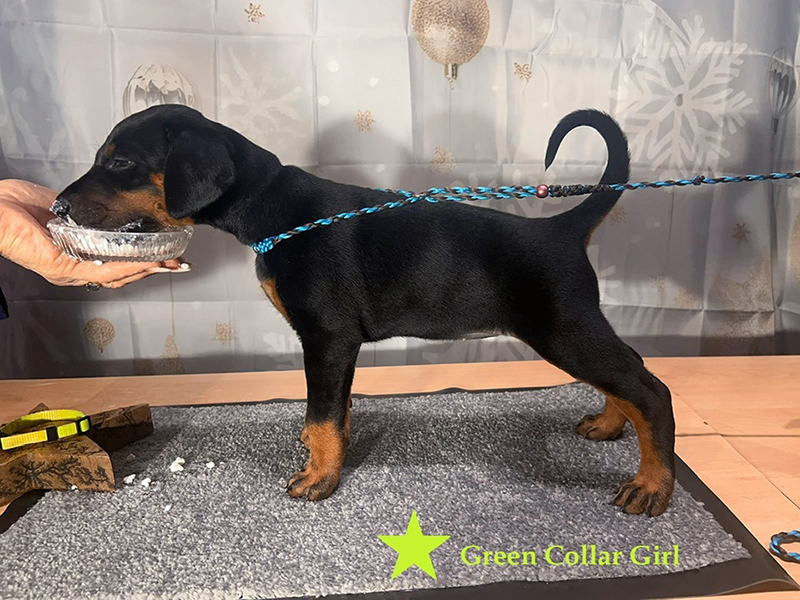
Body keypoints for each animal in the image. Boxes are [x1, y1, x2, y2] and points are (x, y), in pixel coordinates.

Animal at [54, 105, 676, 517]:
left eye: (121, 163)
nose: (57, 205)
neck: (274, 209)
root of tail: (562, 230)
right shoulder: (337, 344)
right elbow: (336, 409)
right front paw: (327, 455)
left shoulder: (326, 335)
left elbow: (322, 413)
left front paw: (318, 477)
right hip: (574, 327)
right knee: (629, 373)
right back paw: (609, 423)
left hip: (563, 328)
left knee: (651, 388)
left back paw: (653, 484)